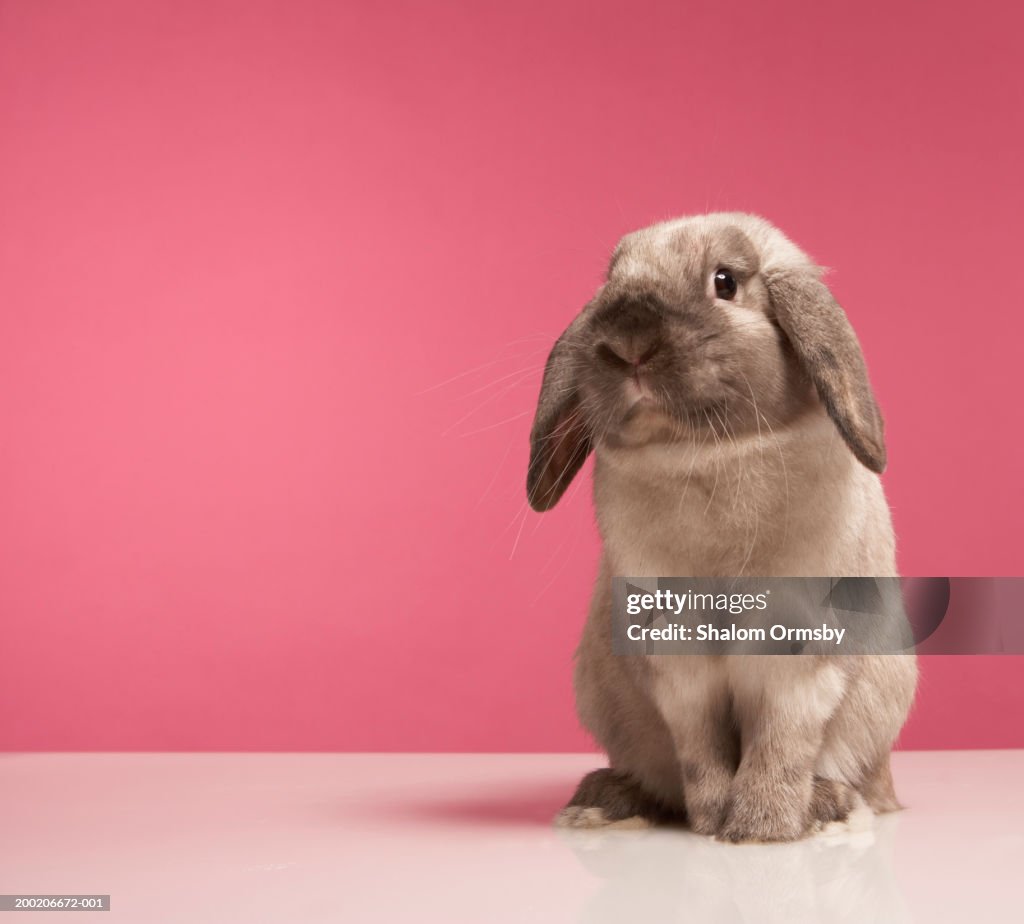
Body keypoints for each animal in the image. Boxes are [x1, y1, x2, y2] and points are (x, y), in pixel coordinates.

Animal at [527, 213, 917, 842]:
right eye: (612, 281)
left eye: (725, 281)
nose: (628, 341)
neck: (705, 456)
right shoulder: (676, 663)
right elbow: (701, 752)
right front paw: (711, 820)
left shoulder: (800, 660)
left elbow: (780, 745)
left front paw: (762, 828)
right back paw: (602, 803)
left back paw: (827, 807)